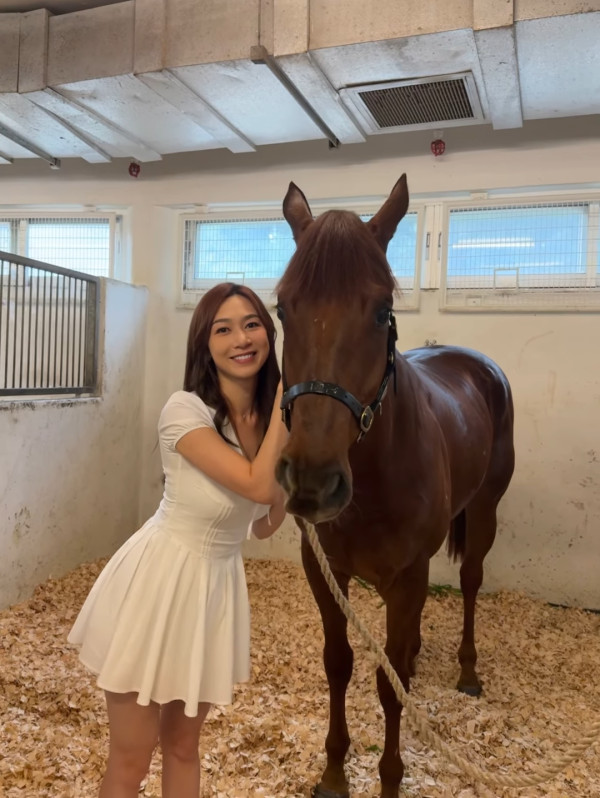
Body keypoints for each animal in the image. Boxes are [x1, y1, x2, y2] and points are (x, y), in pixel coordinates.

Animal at [274, 174, 515, 798]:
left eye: (383, 310)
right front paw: (334, 771)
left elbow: (390, 686)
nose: (312, 482)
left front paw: (389, 777)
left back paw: (467, 669)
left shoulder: (407, 577)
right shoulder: (325, 571)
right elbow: (339, 662)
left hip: (484, 512)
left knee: (471, 581)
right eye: (282, 308)